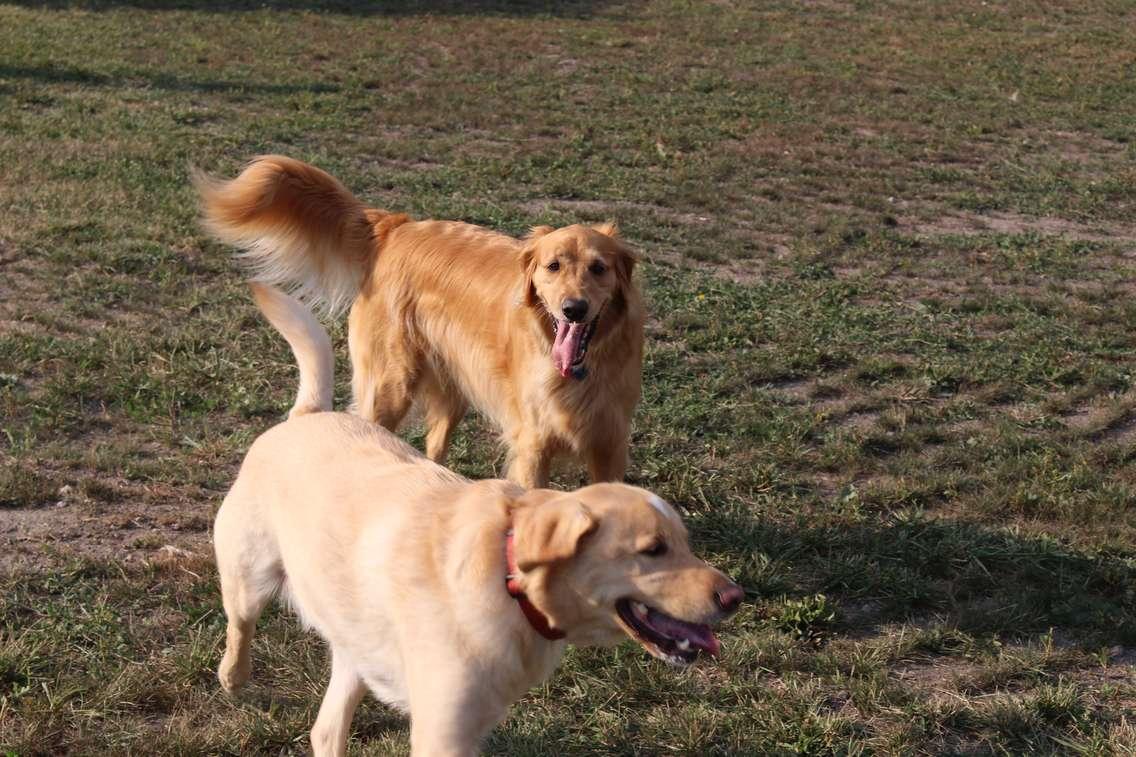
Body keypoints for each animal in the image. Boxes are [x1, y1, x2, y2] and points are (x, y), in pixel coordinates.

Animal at [214, 283, 745, 754]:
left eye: (686, 544)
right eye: (653, 550)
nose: (736, 597)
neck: (506, 575)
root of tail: (308, 414)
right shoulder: (443, 736)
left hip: (353, 650)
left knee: (324, 732)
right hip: (249, 580)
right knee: (240, 627)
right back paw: (232, 678)